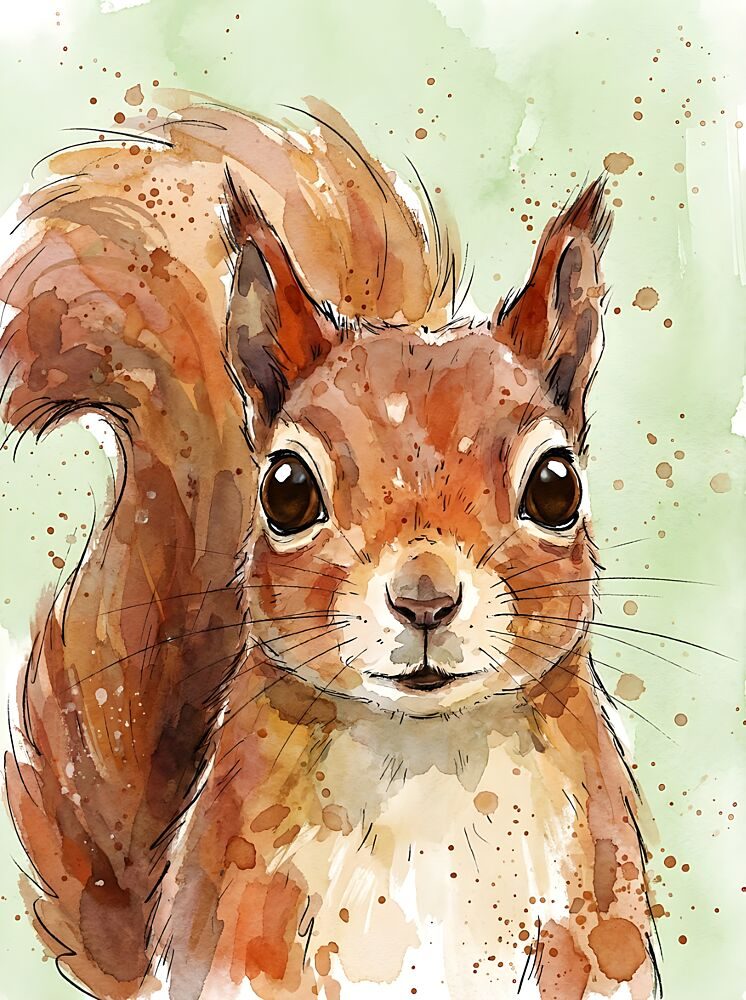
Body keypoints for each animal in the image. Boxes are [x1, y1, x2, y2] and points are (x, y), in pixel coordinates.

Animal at [0, 94, 659, 999]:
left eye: (557, 485)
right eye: (284, 489)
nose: (424, 599)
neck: (426, 763)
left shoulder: (595, 917)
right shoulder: (244, 926)